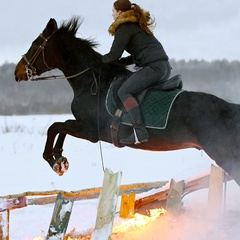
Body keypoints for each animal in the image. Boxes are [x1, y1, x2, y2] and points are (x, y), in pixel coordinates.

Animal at [14, 17, 240, 186]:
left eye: (35, 44)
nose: (17, 72)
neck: (94, 83)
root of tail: (231, 109)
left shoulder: (90, 130)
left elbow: (55, 126)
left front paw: (54, 161)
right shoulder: (84, 127)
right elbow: (60, 128)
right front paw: (60, 160)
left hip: (224, 155)